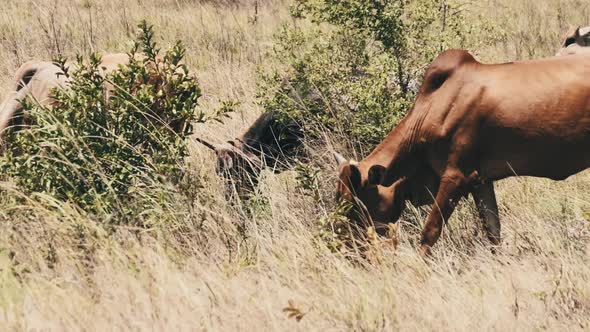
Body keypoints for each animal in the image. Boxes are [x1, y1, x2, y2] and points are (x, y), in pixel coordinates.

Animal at [336, 49, 590, 255]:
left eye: (352, 205)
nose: (345, 247)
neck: (433, 108)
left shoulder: (456, 176)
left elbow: (430, 231)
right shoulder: (480, 181)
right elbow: (493, 231)